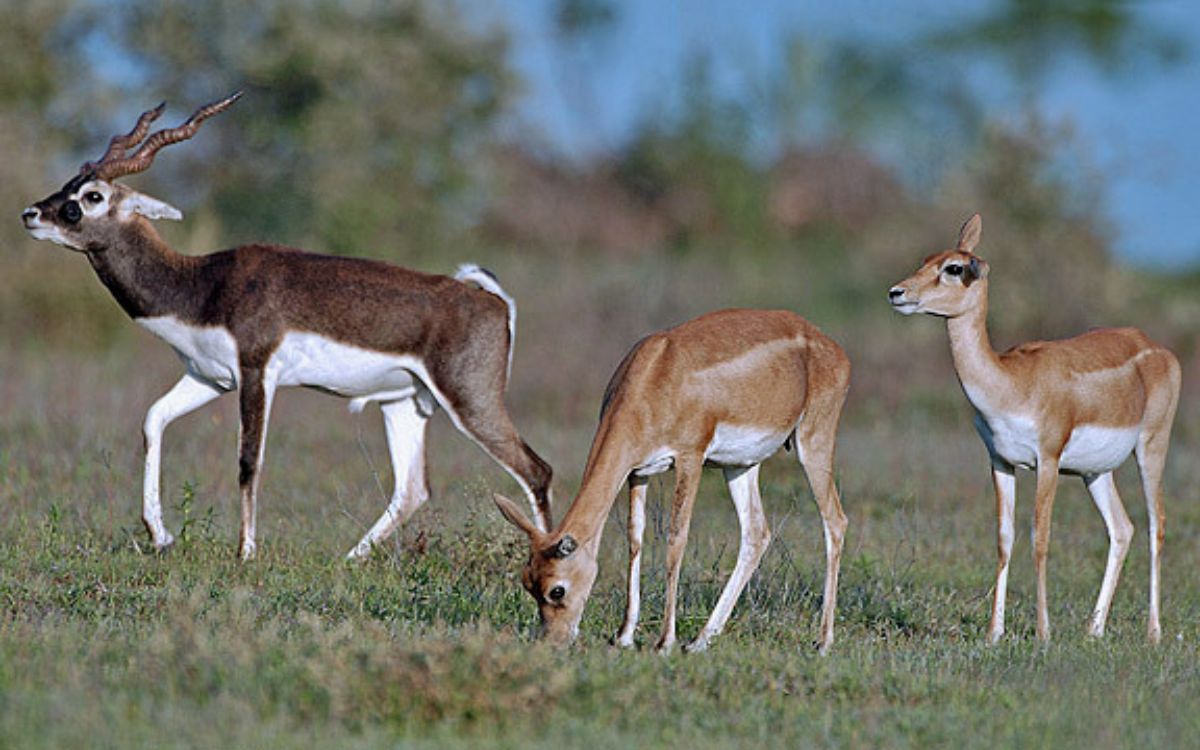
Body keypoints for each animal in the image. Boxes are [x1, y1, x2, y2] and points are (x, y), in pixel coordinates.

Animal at [21, 93, 553, 560]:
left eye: (92, 196)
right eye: (71, 183)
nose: (31, 214)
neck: (203, 284)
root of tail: (490, 301)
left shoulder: (257, 374)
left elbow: (248, 461)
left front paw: (246, 553)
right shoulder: (209, 377)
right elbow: (153, 420)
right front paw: (161, 536)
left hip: (471, 402)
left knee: (536, 471)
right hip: (404, 403)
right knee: (412, 490)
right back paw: (348, 559)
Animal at [494, 308, 850, 653]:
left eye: (557, 590)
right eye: (527, 582)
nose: (552, 641)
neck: (654, 376)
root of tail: (831, 346)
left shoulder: (690, 458)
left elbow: (675, 539)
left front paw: (664, 641)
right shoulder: (637, 472)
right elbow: (635, 538)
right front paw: (624, 636)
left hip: (812, 443)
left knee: (835, 521)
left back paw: (823, 642)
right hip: (740, 465)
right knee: (756, 533)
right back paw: (701, 640)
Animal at [888, 214, 1180, 643]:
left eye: (953, 268)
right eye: (926, 259)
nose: (897, 292)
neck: (1012, 383)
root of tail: (1156, 347)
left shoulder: (1048, 460)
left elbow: (1039, 539)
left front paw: (1043, 632)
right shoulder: (1000, 462)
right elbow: (1004, 539)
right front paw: (994, 633)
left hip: (1151, 448)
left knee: (1156, 525)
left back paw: (1153, 632)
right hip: (1096, 472)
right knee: (1122, 528)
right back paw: (1093, 629)